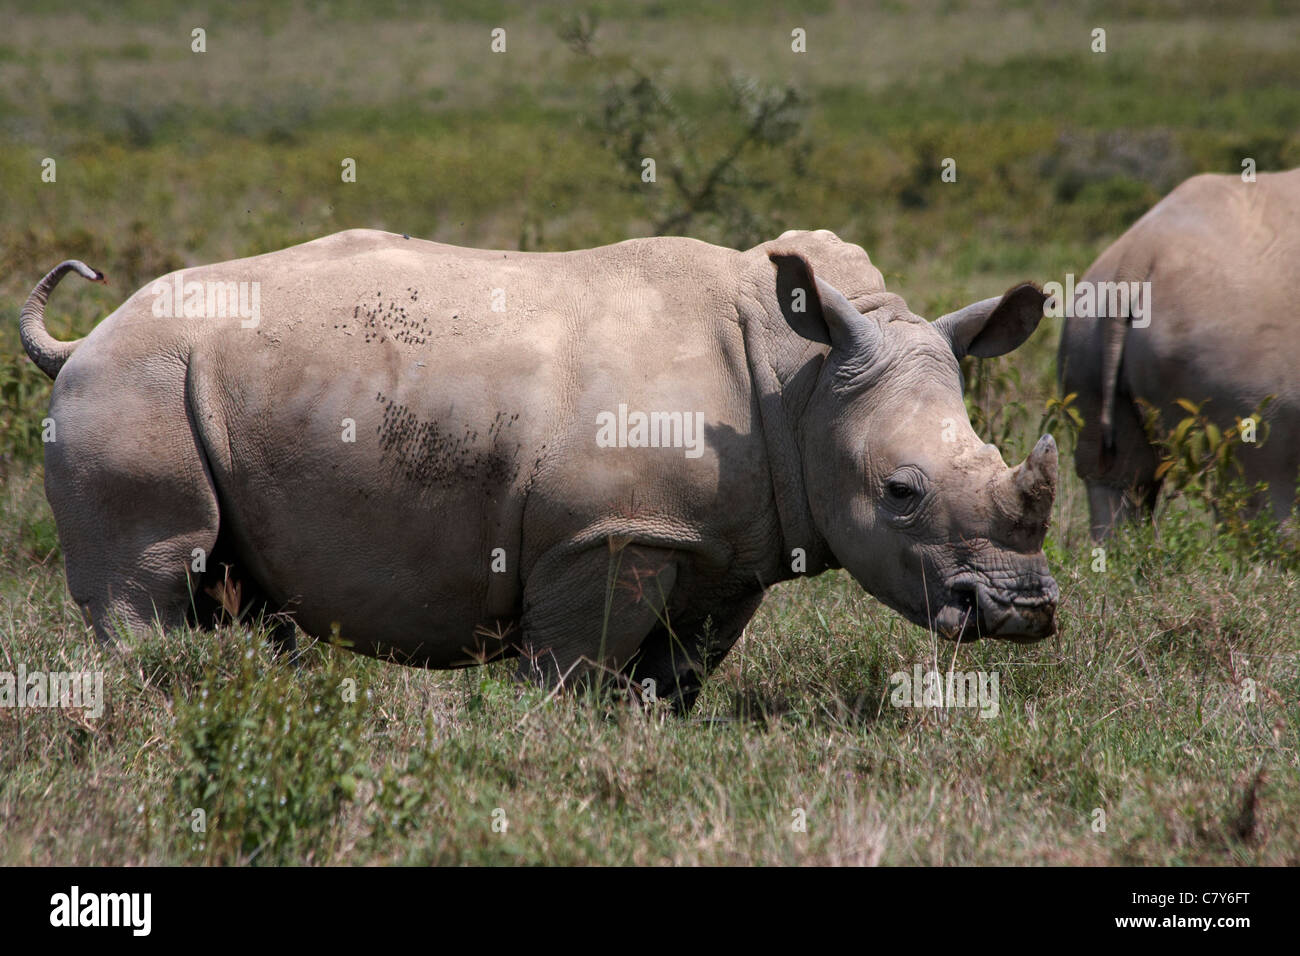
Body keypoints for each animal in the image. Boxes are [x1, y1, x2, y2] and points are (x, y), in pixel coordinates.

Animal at [20, 227, 1055, 712]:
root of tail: (82, 342)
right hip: (133, 388)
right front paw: (552, 738)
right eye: (902, 494)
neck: (800, 381)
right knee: (153, 578)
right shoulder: (608, 533)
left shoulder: (730, 546)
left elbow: (679, 669)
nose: (1024, 611)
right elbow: (575, 667)